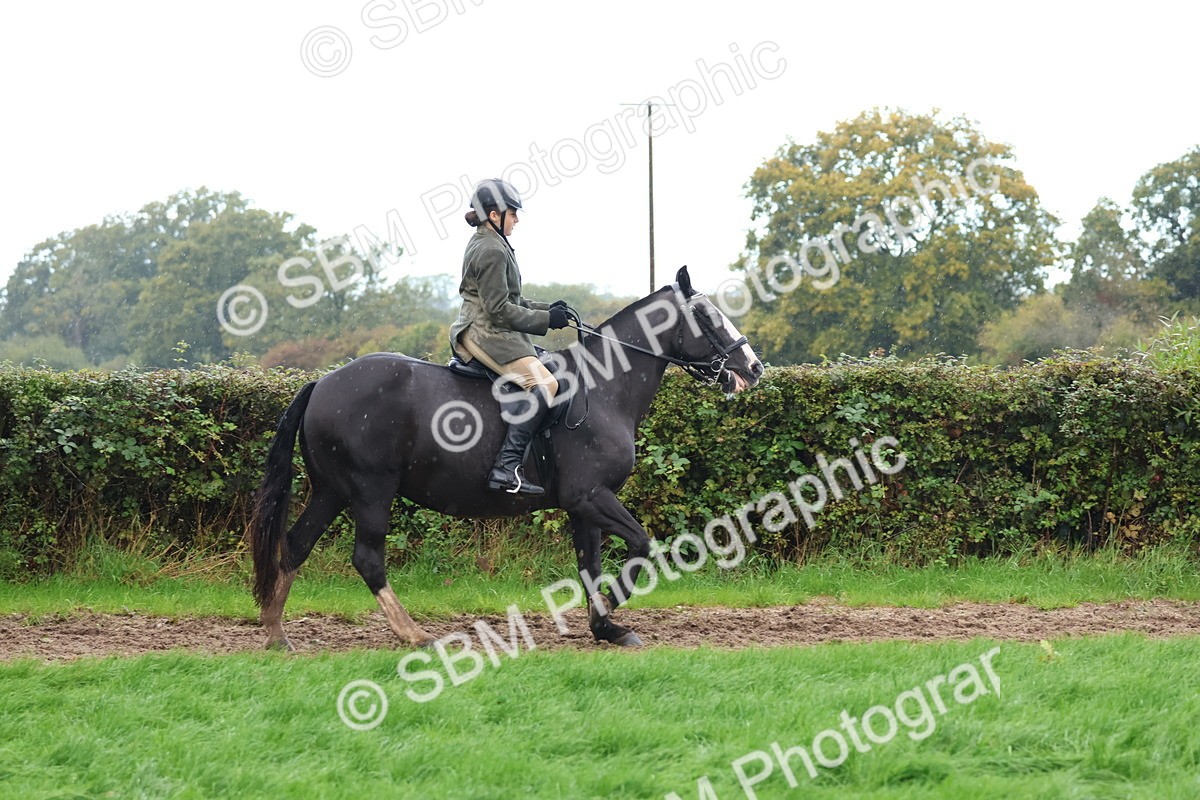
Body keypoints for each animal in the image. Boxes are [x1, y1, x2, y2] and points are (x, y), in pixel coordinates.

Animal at [250, 265, 764, 649]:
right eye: (707, 315)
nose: (754, 368)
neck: (603, 388)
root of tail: (323, 382)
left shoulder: (584, 506)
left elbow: (591, 565)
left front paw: (604, 626)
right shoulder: (590, 496)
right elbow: (640, 546)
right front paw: (609, 612)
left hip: (332, 491)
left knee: (295, 545)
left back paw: (276, 632)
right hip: (371, 491)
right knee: (368, 558)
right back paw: (414, 634)